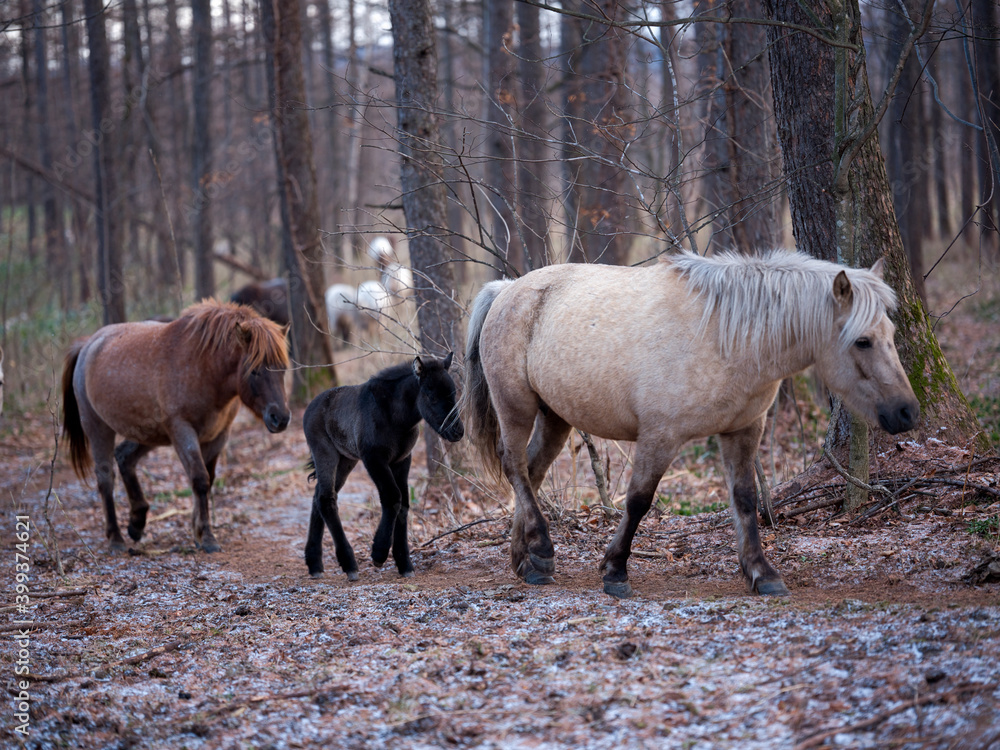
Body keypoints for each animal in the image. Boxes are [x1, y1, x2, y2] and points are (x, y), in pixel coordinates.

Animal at [61, 300, 292, 552]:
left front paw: (198, 533)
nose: (280, 418)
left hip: (148, 434)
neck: (204, 368)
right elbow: (199, 480)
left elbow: (207, 481)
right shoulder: (183, 431)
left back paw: (137, 522)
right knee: (105, 477)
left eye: (283, 369)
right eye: (255, 370)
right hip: (98, 427)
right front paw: (207, 537)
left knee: (124, 457)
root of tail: (88, 345)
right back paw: (116, 539)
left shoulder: (218, 436)